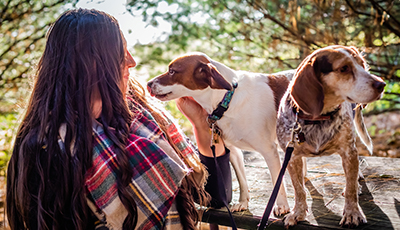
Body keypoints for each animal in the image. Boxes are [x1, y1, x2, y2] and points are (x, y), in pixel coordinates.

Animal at [148, 52, 292, 214]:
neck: (227, 100)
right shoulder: (234, 152)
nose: (148, 84)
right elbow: (242, 180)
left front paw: (282, 205)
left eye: (172, 71)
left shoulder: (269, 151)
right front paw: (243, 202)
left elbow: (277, 181)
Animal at [276, 45, 386, 228]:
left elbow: (350, 189)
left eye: (362, 65)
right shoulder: (292, 157)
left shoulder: (349, 152)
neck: (318, 119)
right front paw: (297, 213)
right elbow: (299, 189)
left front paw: (352, 213)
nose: (382, 84)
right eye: (344, 68)